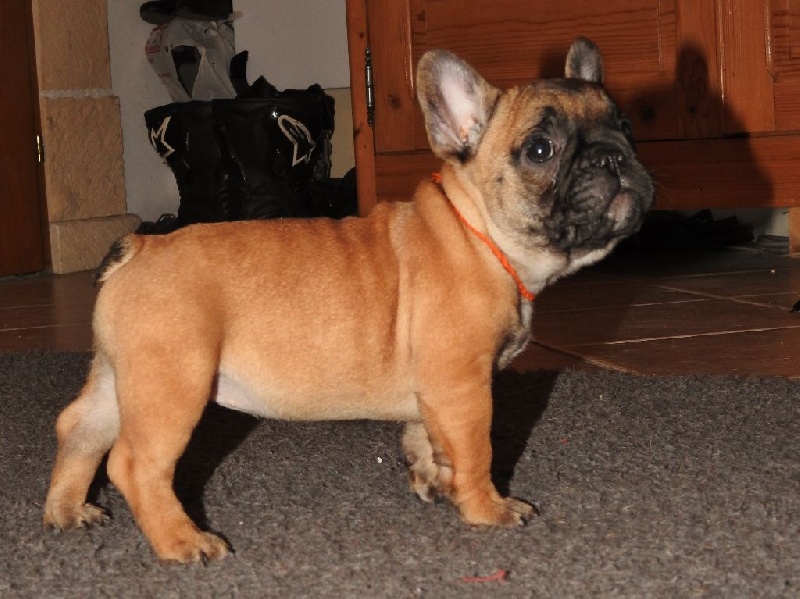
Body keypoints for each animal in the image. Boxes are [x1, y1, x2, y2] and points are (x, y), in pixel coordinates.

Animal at [43, 38, 653, 563]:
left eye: (626, 128)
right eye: (540, 150)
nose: (613, 157)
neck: (478, 234)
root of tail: (138, 247)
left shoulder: (435, 392)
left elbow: (426, 437)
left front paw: (435, 483)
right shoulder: (462, 385)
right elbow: (475, 449)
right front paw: (487, 507)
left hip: (121, 374)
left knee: (79, 427)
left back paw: (67, 512)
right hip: (172, 382)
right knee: (135, 464)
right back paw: (182, 542)